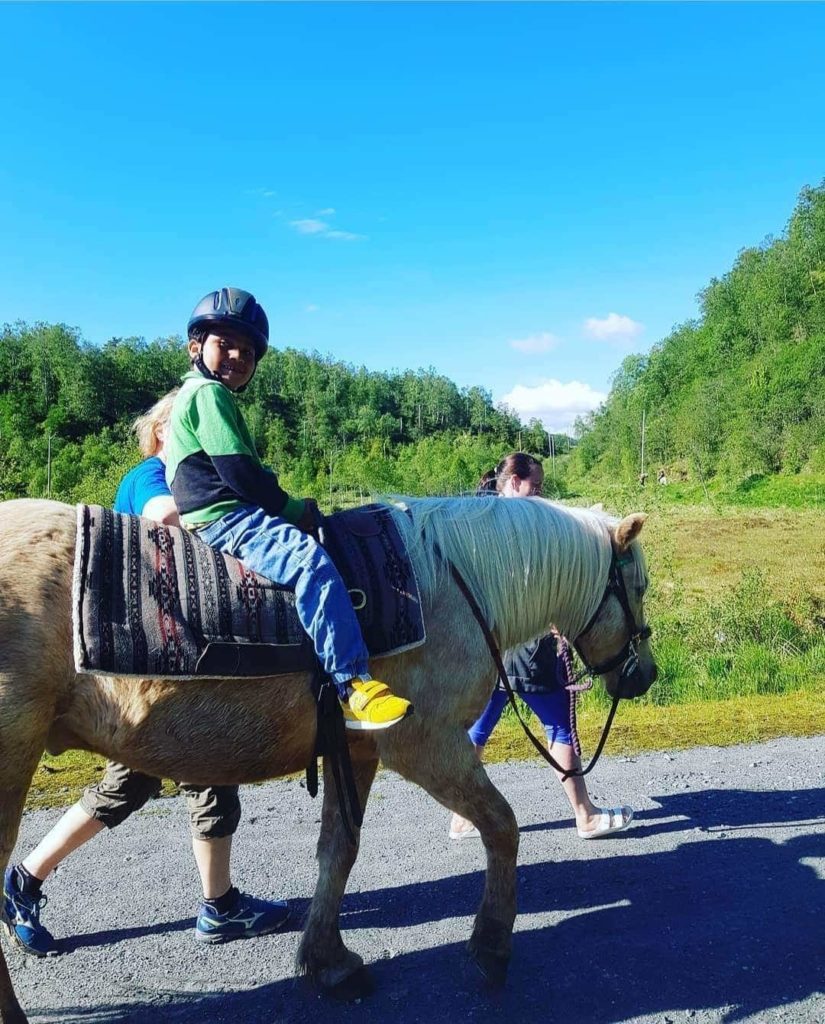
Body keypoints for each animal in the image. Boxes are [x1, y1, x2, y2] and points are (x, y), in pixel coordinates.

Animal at [0, 493, 659, 1015]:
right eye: (640, 587)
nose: (645, 675)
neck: (455, 583)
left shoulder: (358, 749)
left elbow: (338, 852)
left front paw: (328, 963)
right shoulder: (427, 744)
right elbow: (502, 826)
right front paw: (491, 945)